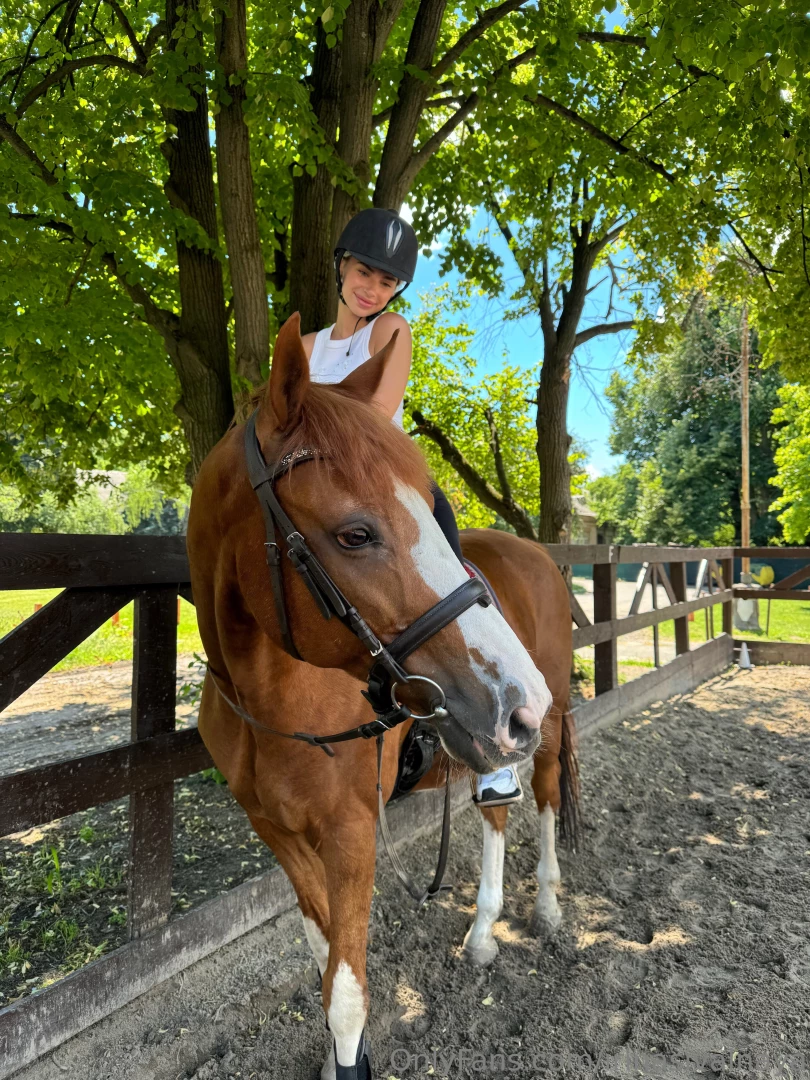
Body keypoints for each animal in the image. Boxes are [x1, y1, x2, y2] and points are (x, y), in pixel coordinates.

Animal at [186, 314, 576, 1080]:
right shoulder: (278, 834)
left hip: (540, 730)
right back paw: (482, 933)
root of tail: (539, 555)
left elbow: (346, 992)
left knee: (543, 798)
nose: (520, 698)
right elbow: (324, 962)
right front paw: (342, 1057)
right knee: (495, 814)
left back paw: (544, 906)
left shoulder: (350, 834)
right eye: (355, 534)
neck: (269, 699)